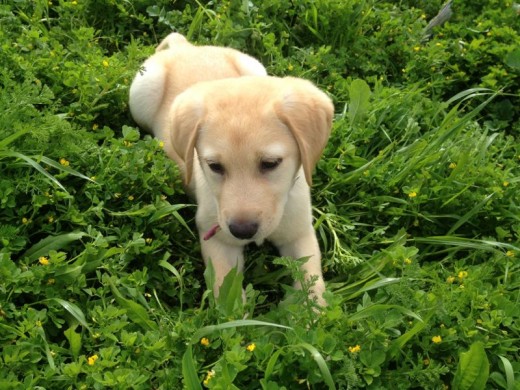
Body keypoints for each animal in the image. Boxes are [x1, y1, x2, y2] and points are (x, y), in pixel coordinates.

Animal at [130, 32, 334, 304]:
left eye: (270, 164)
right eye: (215, 166)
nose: (242, 231)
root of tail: (188, 47)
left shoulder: (300, 233)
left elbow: (312, 284)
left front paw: (314, 311)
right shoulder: (218, 239)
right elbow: (227, 296)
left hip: (255, 67)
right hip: (142, 89)